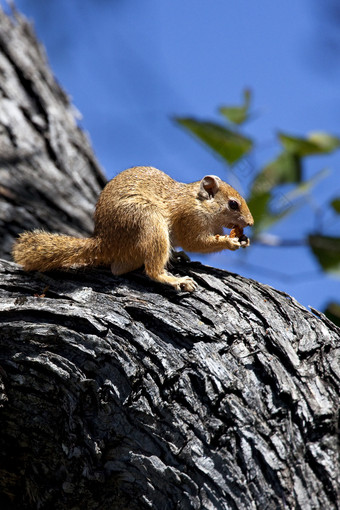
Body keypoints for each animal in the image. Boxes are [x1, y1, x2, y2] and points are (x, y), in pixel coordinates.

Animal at [11, 166, 254, 290]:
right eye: (233, 204)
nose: (250, 223)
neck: (198, 201)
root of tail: (104, 241)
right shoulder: (189, 218)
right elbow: (196, 242)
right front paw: (230, 241)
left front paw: (243, 239)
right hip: (149, 223)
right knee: (151, 270)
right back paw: (174, 280)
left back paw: (176, 257)